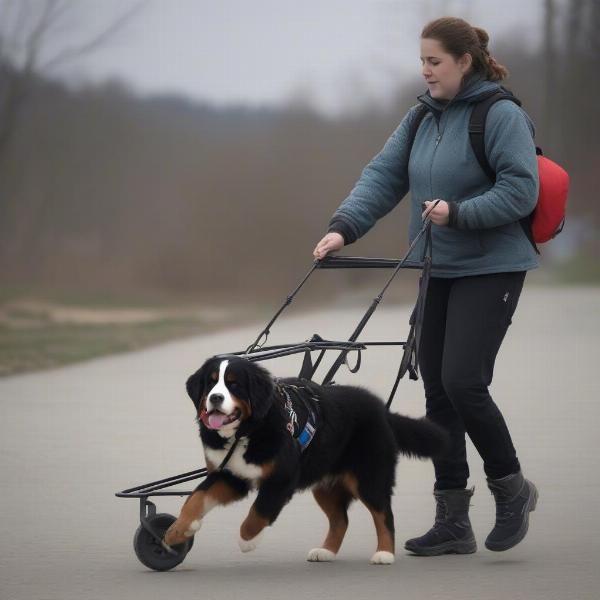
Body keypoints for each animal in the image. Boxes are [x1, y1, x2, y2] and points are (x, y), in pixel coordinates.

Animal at [162, 354, 448, 564]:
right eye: (210, 383)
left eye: (234, 384)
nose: (215, 398)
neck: (245, 433)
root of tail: (381, 409)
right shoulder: (230, 476)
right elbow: (196, 498)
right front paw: (177, 531)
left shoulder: (282, 478)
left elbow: (259, 510)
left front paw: (248, 540)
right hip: (324, 483)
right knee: (340, 520)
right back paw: (326, 551)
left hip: (369, 476)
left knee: (383, 513)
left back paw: (384, 553)